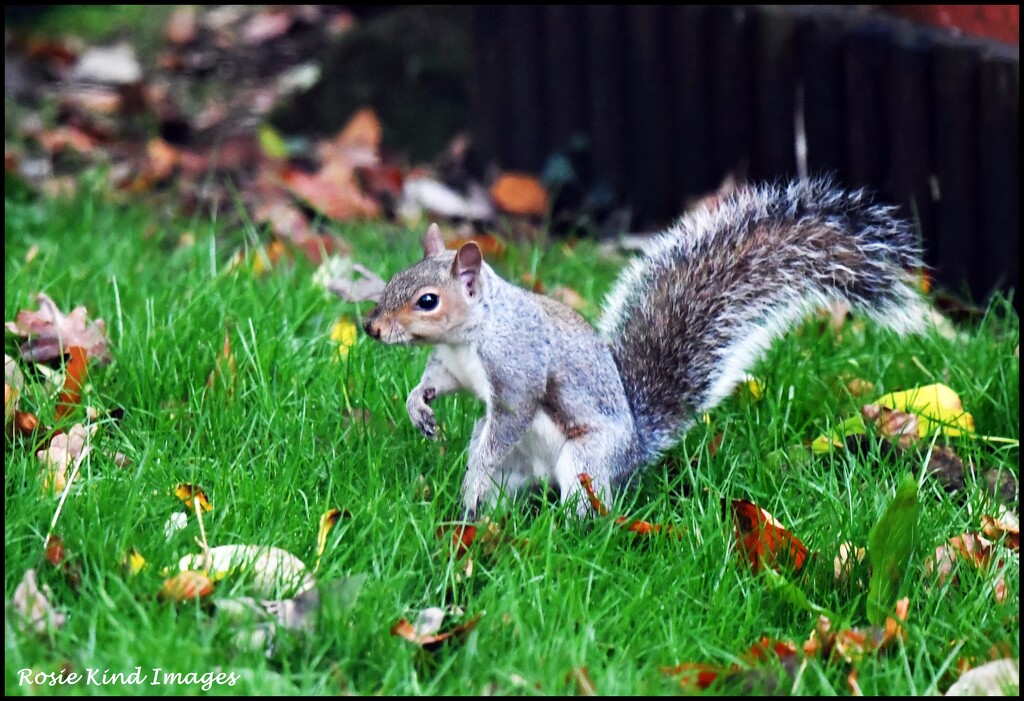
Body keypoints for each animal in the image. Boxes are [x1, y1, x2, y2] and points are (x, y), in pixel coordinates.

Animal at [366, 178, 929, 515]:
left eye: (427, 301)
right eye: (393, 280)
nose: (371, 329)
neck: (473, 334)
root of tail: (635, 448)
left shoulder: (517, 366)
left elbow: (511, 415)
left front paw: (477, 458)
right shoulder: (453, 365)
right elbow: (436, 382)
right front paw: (418, 405)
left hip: (586, 458)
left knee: (587, 501)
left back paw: (563, 525)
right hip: (524, 471)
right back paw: (475, 514)